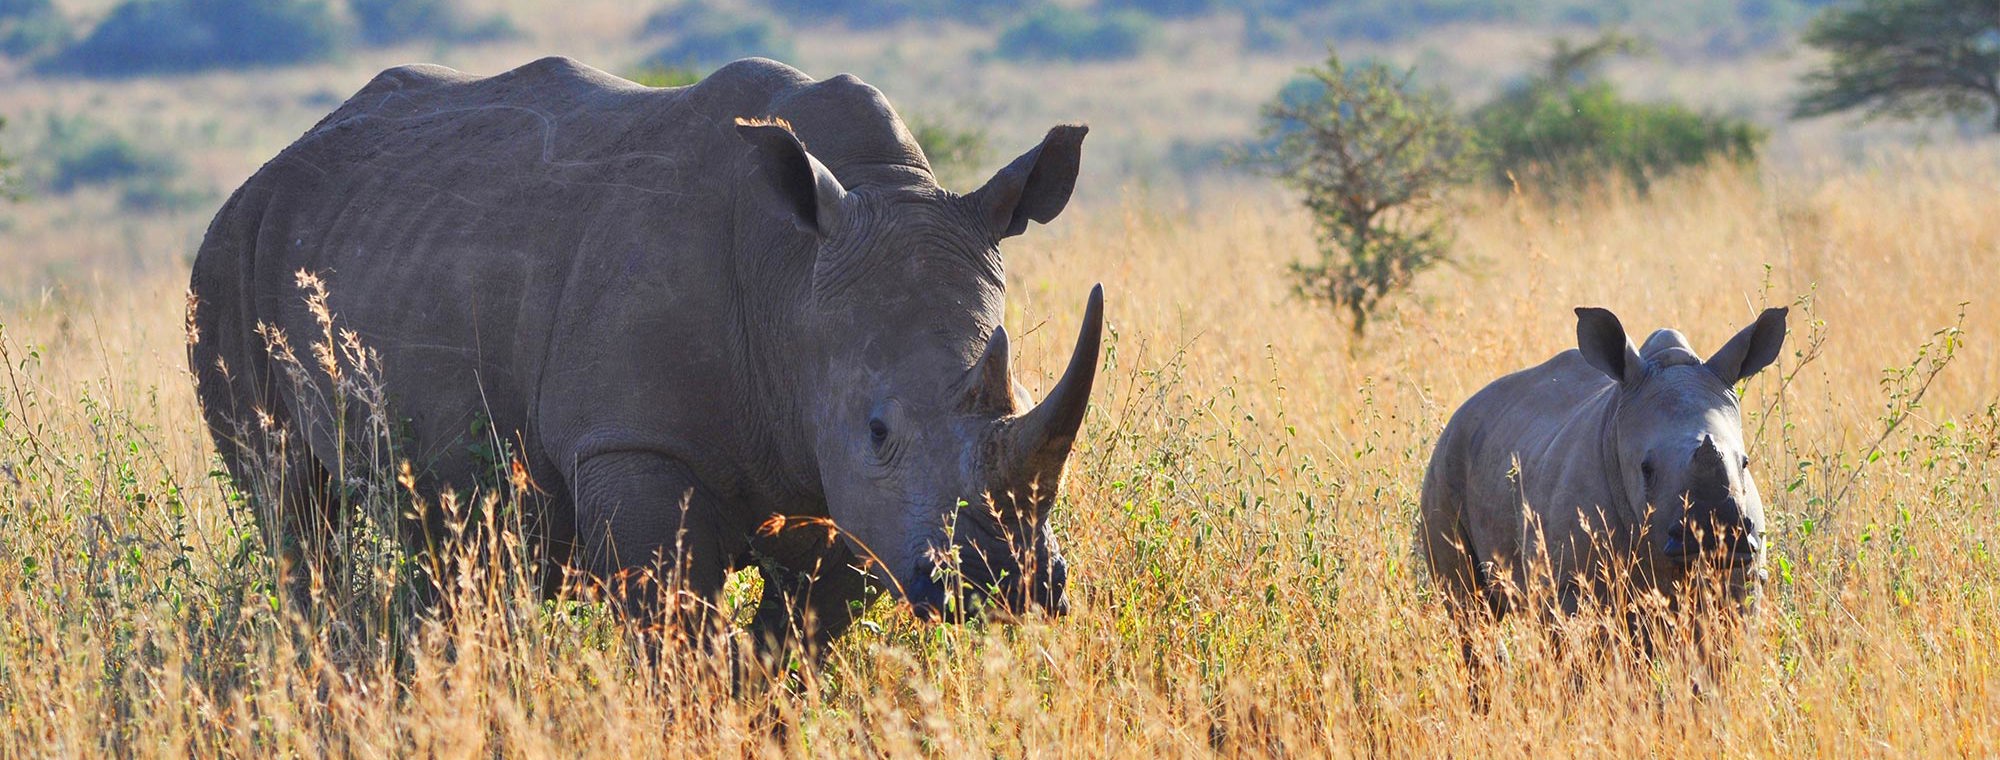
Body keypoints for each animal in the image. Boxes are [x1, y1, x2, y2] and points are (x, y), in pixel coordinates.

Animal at [187, 56, 1102, 649]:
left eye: (1022, 397)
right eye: (879, 430)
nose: (1007, 582)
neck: (794, 279)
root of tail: (268, 168)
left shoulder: (838, 482)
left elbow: (790, 647)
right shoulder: (635, 442)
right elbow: (673, 637)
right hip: (227, 260)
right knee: (293, 516)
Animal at [1418, 306, 1788, 621]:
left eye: (1745, 463)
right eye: (1646, 469)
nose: (1713, 537)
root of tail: (1462, 410)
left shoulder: (1745, 571)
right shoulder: (1572, 584)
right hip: (1446, 459)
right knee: (1468, 607)